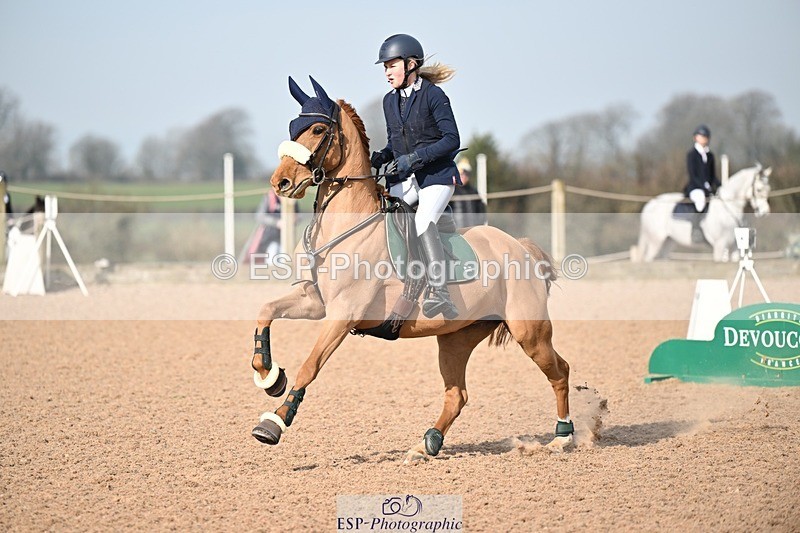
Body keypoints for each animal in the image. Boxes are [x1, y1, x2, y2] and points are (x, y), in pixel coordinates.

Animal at [250, 76, 574, 462]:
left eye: (316, 129)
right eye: (292, 127)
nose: (280, 182)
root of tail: (520, 247)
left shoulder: (343, 313)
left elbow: (310, 365)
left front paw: (274, 422)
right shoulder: (315, 303)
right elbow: (266, 311)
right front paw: (270, 376)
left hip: (530, 331)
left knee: (559, 372)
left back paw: (563, 437)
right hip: (455, 338)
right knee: (457, 394)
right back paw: (426, 443)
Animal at [633, 165, 771, 262]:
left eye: (768, 189)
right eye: (759, 189)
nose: (765, 212)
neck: (729, 209)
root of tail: (650, 204)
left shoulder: (735, 248)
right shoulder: (720, 245)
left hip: (668, 242)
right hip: (655, 242)